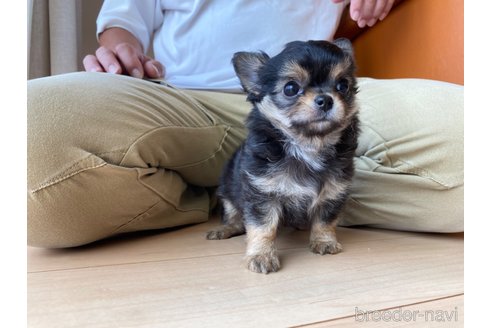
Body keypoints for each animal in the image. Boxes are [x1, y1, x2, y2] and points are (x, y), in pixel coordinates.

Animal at [206, 39, 360, 274]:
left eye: (343, 86)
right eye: (290, 89)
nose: (325, 100)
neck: (307, 145)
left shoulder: (333, 192)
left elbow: (325, 221)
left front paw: (324, 242)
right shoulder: (262, 193)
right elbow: (263, 228)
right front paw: (261, 256)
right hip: (228, 193)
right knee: (235, 219)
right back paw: (224, 230)